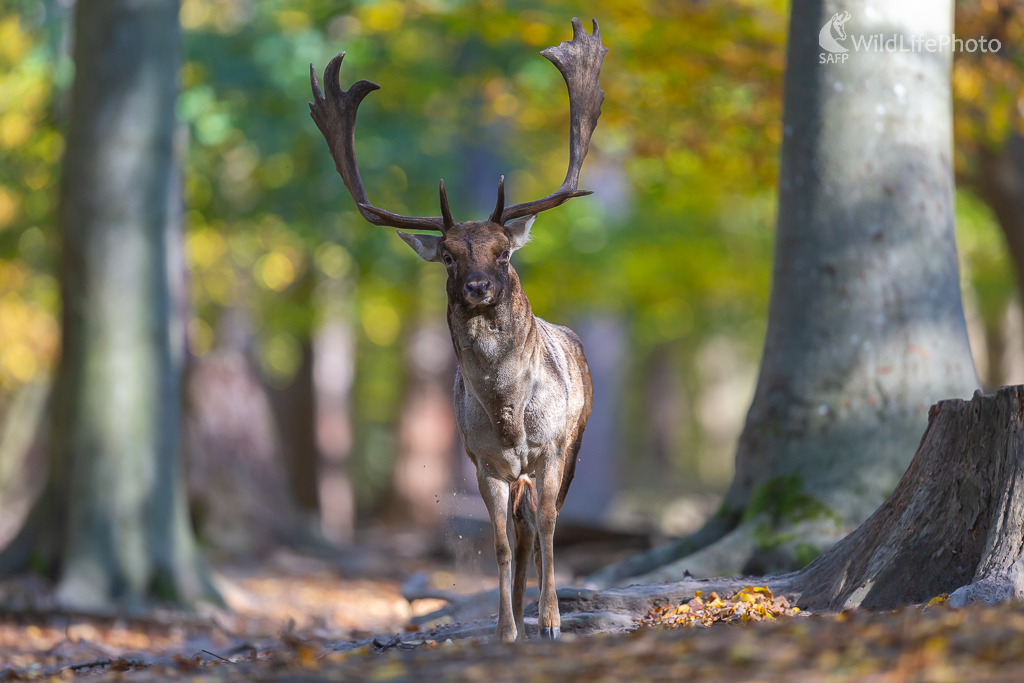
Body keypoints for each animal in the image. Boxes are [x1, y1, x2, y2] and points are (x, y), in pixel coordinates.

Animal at [307, 17, 602, 647]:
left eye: (503, 252)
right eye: (447, 255)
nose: (478, 287)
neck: (511, 417)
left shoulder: (551, 449)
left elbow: (548, 529)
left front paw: (550, 621)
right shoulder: (483, 463)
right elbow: (498, 543)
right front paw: (505, 628)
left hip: (576, 442)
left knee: (542, 525)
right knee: (519, 531)